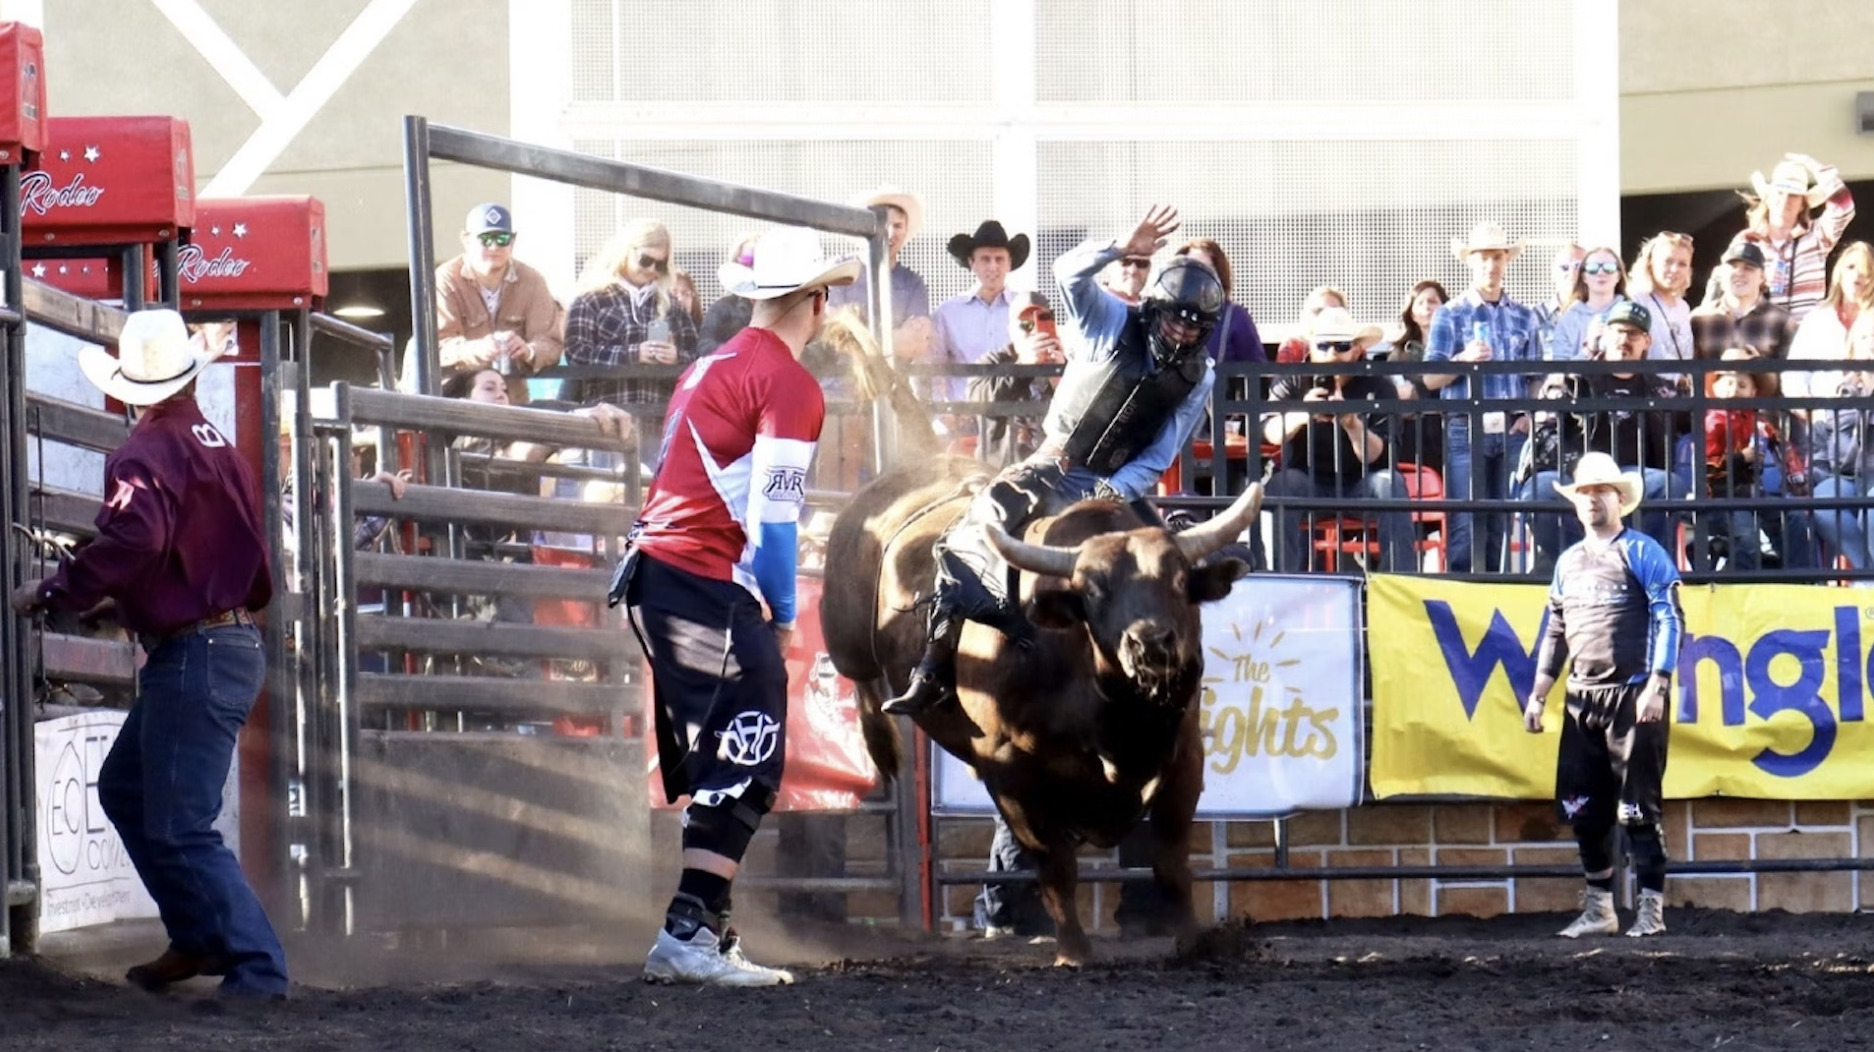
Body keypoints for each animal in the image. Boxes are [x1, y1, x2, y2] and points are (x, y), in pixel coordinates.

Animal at [820, 455, 1259, 967]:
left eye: (1180, 581)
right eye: (1092, 590)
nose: (1150, 643)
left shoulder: (1185, 756)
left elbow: (1170, 861)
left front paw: (1193, 941)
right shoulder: (1009, 771)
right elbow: (1054, 866)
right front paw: (1073, 952)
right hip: (844, 634)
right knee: (861, 678)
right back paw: (883, 739)